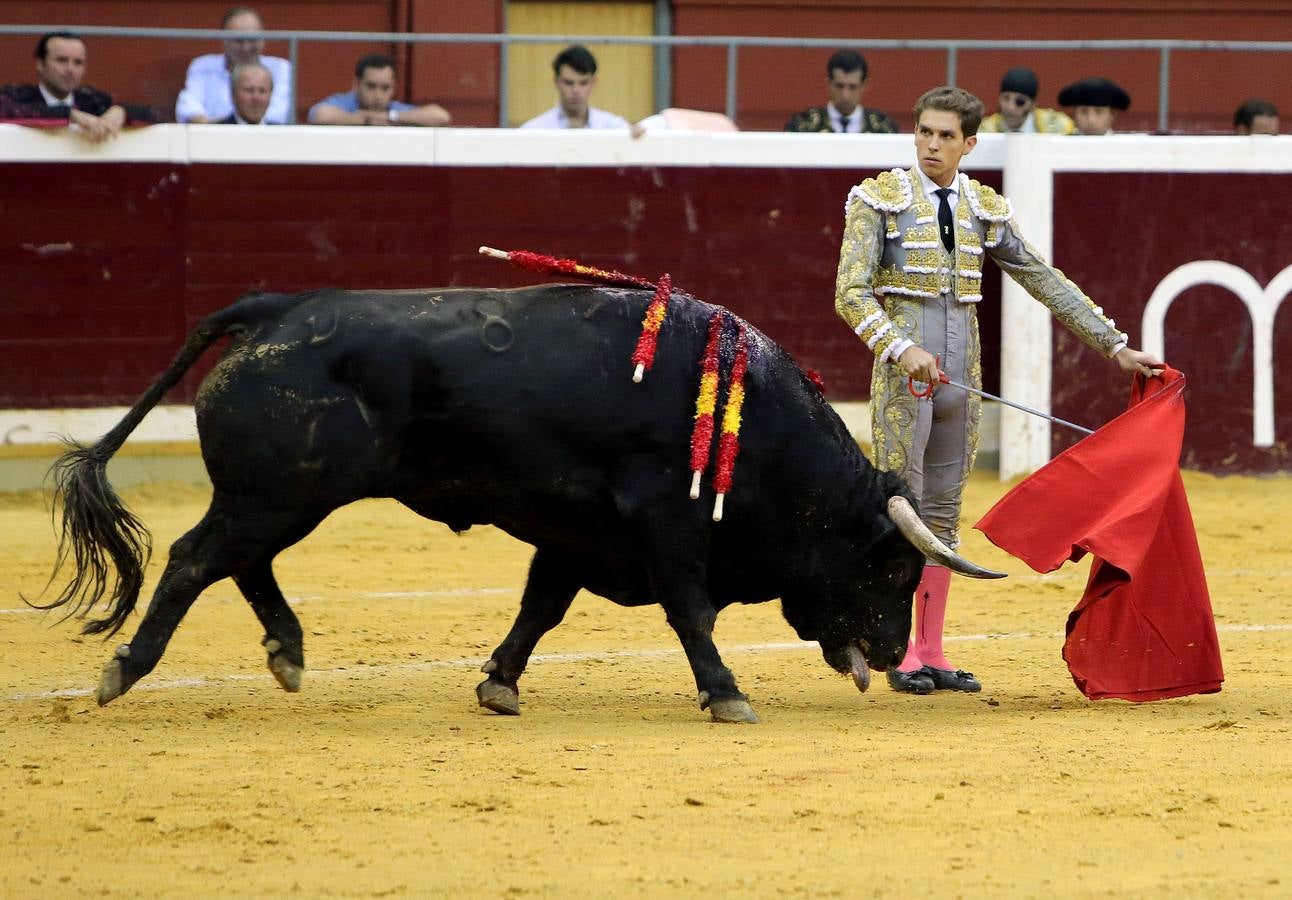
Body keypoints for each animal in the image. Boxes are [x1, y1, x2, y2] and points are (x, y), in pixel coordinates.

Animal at [35, 284, 997, 717]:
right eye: (893, 569)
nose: (893, 652)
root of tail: (272, 309)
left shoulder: (577, 535)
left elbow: (540, 609)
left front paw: (498, 683)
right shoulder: (666, 527)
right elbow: (690, 614)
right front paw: (727, 693)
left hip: (280, 495)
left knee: (240, 563)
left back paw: (288, 652)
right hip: (279, 492)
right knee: (196, 559)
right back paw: (125, 670)